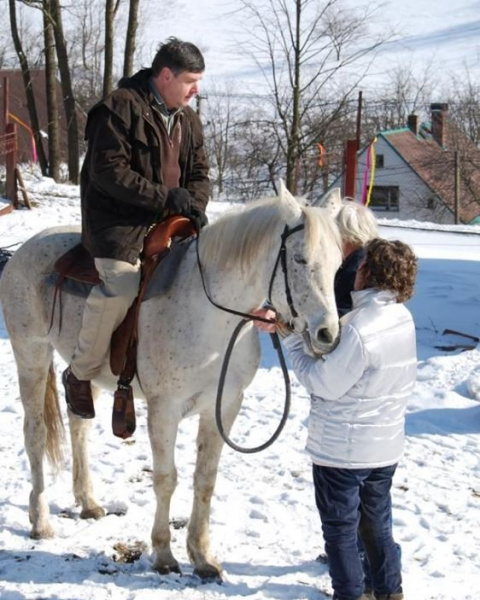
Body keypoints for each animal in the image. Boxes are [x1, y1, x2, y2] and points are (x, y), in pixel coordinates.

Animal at [0, 185, 344, 580]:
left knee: (78, 422)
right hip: (31, 356)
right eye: (300, 259)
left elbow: (205, 479)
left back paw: (88, 502)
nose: (327, 334)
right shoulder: (164, 411)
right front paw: (164, 554)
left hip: (88, 375)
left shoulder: (223, 407)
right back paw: (40, 521)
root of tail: (23, 249)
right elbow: (167, 478)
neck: (211, 316)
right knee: (35, 433)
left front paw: (202, 555)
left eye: (338, 263)